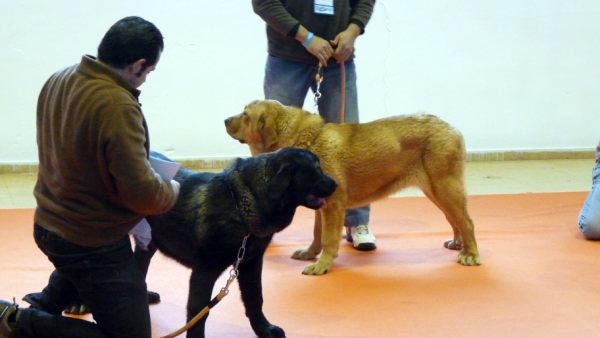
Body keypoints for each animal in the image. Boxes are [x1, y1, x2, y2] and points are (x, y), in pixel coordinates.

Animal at [142, 149, 338, 338]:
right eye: (316, 169)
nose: (336, 184)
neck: (240, 206)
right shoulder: (204, 272)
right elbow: (199, 313)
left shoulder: (250, 263)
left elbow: (255, 299)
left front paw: (264, 329)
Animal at [223, 99, 480, 274]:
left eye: (245, 115)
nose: (225, 119)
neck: (307, 142)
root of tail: (451, 128)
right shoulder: (321, 205)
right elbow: (317, 234)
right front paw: (309, 254)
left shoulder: (334, 204)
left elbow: (328, 238)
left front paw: (321, 265)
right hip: (436, 191)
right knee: (454, 219)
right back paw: (458, 244)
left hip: (445, 187)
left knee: (467, 221)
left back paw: (470, 254)